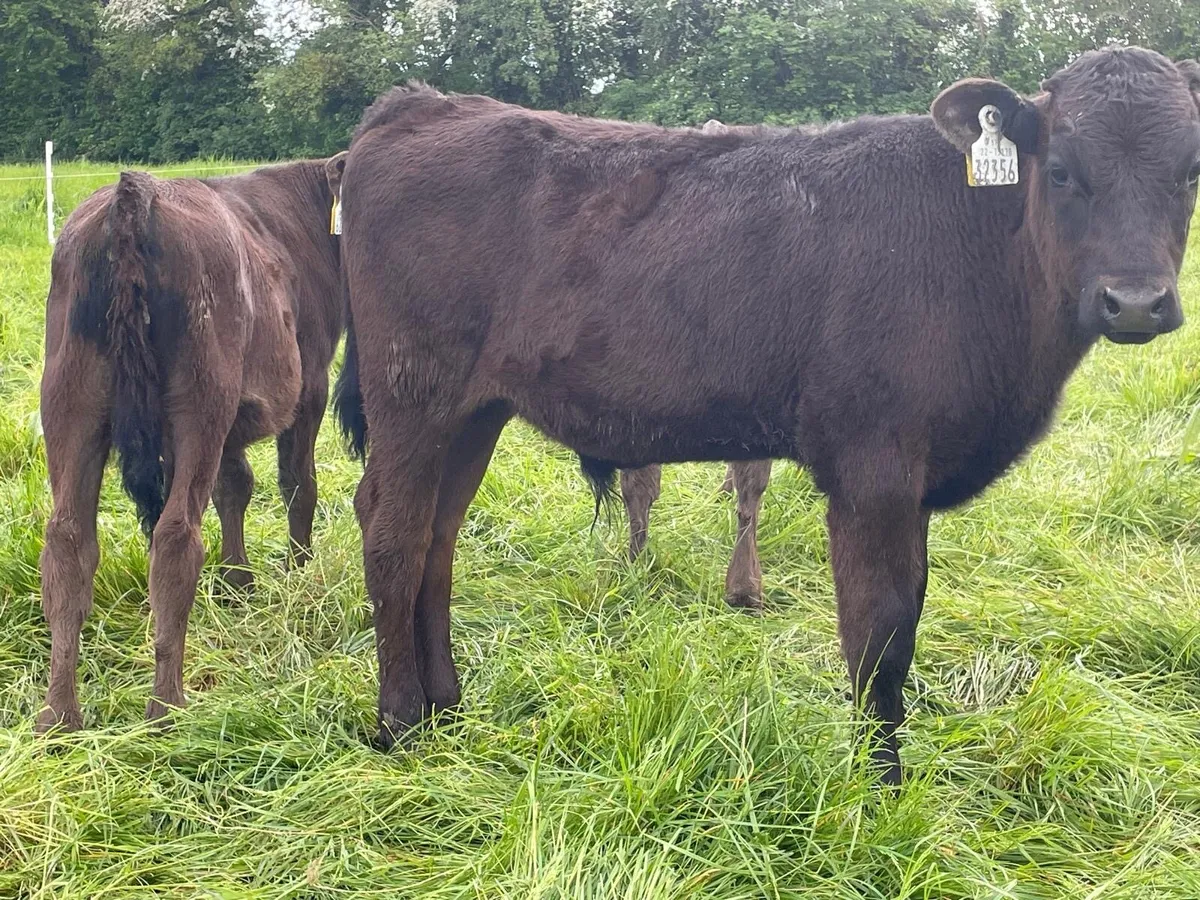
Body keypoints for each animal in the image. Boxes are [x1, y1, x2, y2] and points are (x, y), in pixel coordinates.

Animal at [37, 159, 343, 732]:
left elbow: (234, 486)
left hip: (71, 402)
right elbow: (297, 483)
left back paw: (59, 717)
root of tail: (134, 192)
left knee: (68, 540)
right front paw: (297, 571)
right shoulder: (310, 382)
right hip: (201, 401)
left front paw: (237, 583)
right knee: (176, 536)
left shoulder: (230, 428)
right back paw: (166, 707)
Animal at [335, 47, 1199, 784]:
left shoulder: (913, 480)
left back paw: (448, 708)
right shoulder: (873, 468)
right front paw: (877, 791)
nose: (1134, 302)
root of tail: (422, 105)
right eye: (1061, 170)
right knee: (392, 531)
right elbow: (880, 634)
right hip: (413, 389)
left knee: (438, 538)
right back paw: (401, 723)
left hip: (473, 410)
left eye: (1192, 169)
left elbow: (908, 615)